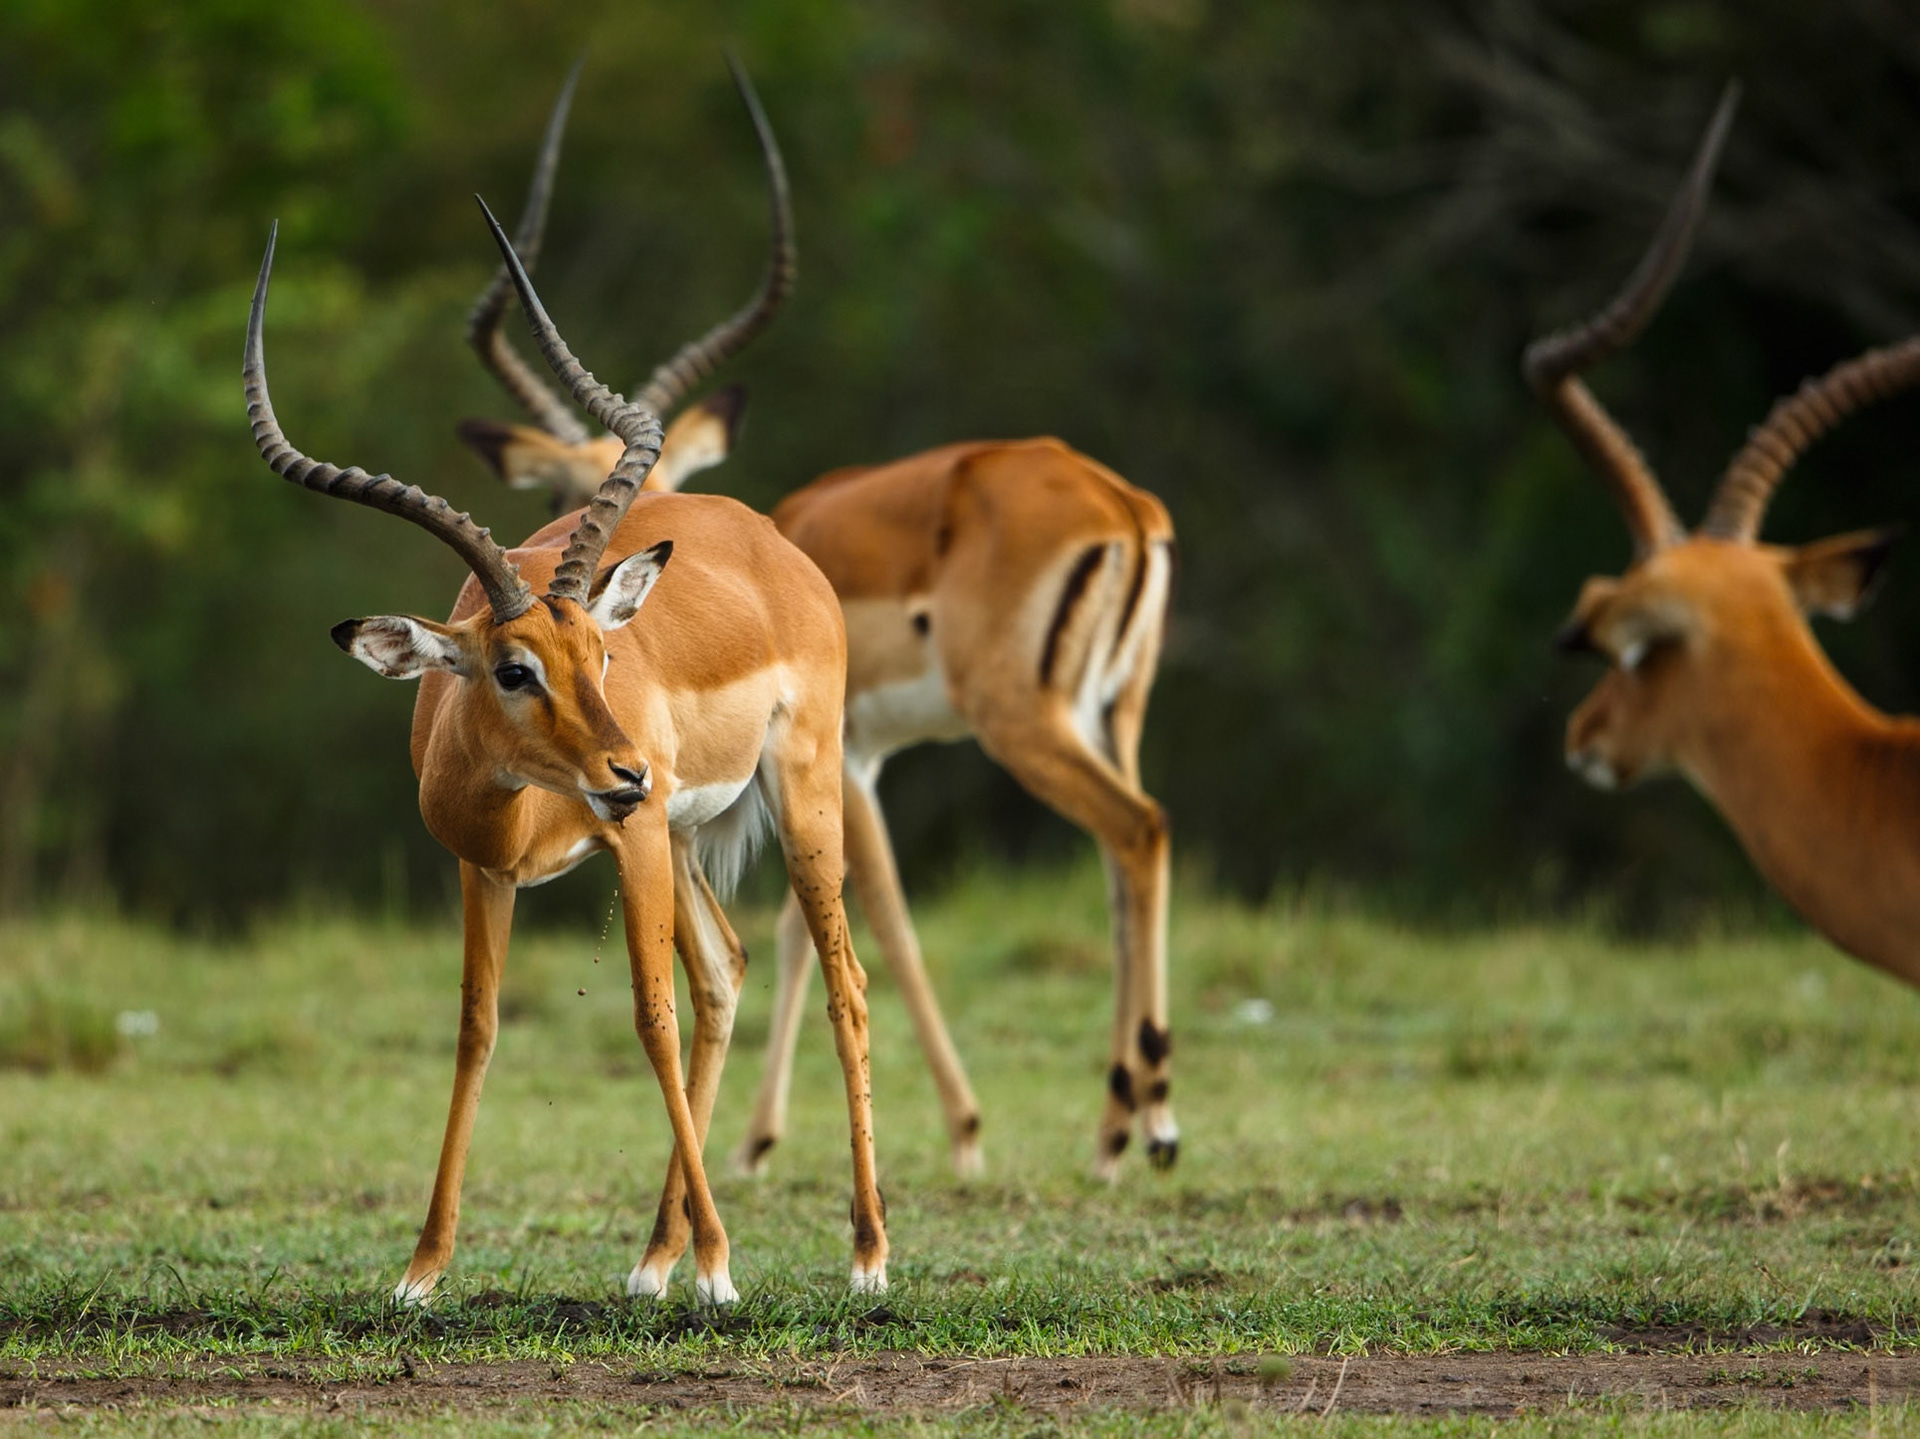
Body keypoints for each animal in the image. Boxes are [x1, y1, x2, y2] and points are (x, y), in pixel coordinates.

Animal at [239, 195, 888, 1305]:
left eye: (602, 652)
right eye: (513, 668)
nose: (628, 769)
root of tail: (770, 536)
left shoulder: (628, 839)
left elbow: (649, 1016)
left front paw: (724, 1269)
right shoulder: (483, 868)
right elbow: (478, 1027)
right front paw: (421, 1270)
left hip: (791, 795)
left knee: (839, 983)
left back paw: (863, 1255)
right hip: (680, 836)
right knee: (725, 973)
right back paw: (656, 1257)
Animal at [461, 87, 1177, 1180]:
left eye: (572, 499)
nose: (556, 575)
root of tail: (1124, 505)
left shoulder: (840, 756)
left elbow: (873, 915)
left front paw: (953, 1132)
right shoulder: (848, 759)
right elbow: (818, 924)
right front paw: (764, 1137)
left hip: (1019, 720)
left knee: (1133, 830)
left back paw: (1120, 1131)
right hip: (1113, 714)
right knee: (1125, 857)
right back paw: (1144, 1114)